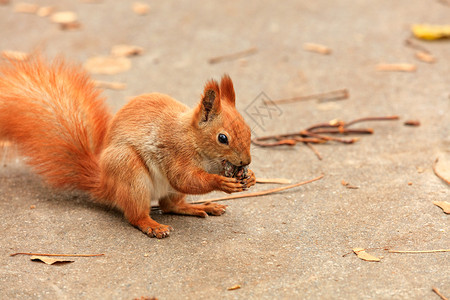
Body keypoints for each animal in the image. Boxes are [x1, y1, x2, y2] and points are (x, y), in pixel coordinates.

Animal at [0, 56, 255, 238]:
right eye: (222, 138)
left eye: (248, 129)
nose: (246, 161)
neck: (193, 139)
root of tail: (105, 185)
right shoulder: (175, 151)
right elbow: (184, 178)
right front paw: (221, 182)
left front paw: (249, 176)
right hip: (129, 171)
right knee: (136, 215)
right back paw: (152, 225)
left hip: (160, 189)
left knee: (170, 205)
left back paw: (199, 207)